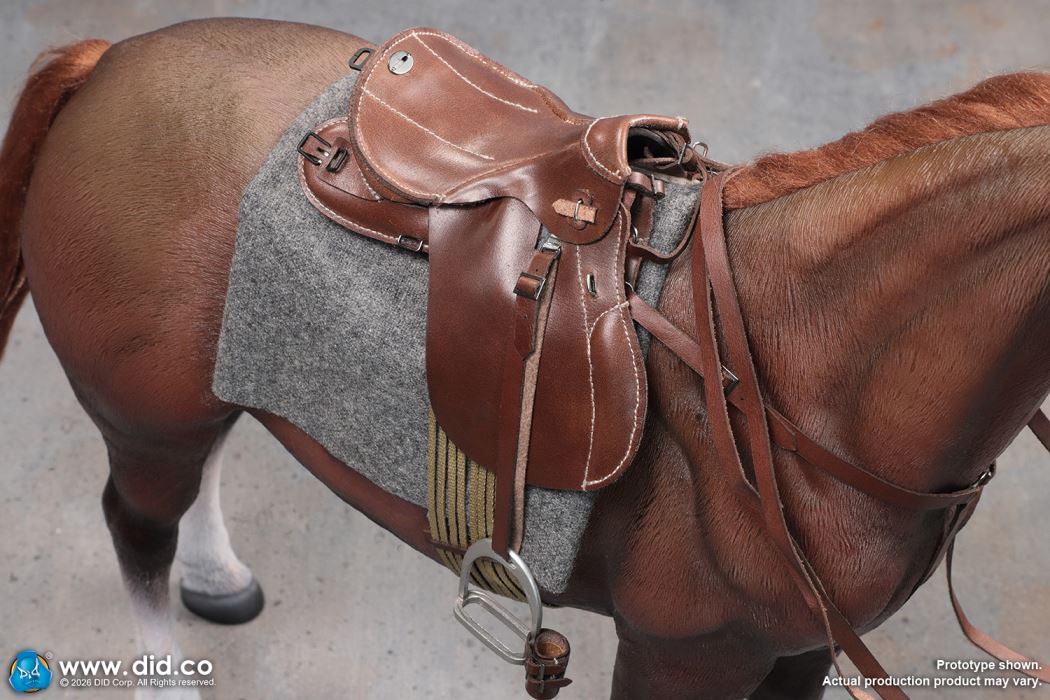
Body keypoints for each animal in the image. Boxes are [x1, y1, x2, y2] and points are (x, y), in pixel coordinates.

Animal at [2, 17, 1048, 700]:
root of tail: (110, 59)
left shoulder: (798, 650)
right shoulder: (684, 651)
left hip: (206, 377)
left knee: (213, 447)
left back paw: (217, 577)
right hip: (140, 409)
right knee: (139, 528)